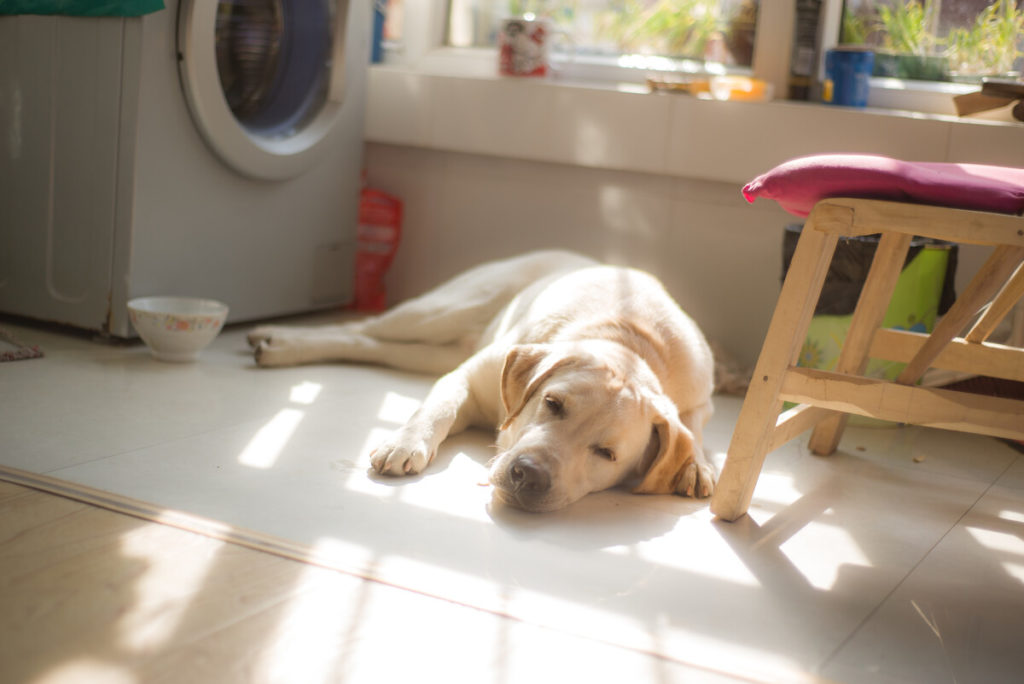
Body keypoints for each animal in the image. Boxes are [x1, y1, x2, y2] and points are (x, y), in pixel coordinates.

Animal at [246, 249, 712, 507]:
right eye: (553, 403)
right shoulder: (467, 376)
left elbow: (691, 430)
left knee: (366, 343)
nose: (530, 475)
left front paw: (696, 465)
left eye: (607, 453)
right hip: (442, 311)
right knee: (360, 326)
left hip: (430, 349)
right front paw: (405, 443)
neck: (632, 342)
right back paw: (278, 337)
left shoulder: (695, 401)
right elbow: (436, 408)